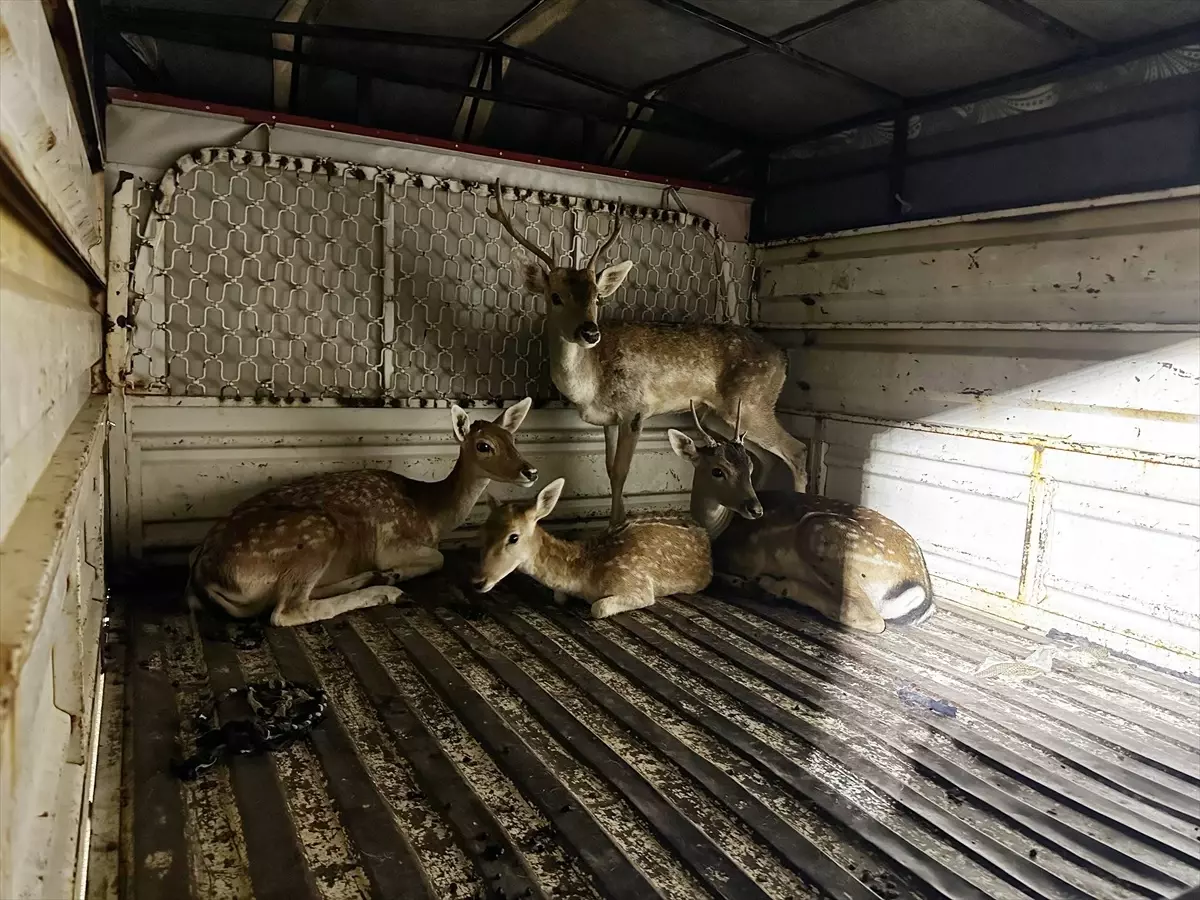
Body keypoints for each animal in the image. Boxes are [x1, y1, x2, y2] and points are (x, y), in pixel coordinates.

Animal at [188, 400, 540, 628]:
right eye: (484, 446)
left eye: (512, 438)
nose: (531, 470)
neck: (432, 514)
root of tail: (205, 576)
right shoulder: (391, 541)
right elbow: (439, 558)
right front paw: (395, 573)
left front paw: (389, 574)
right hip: (315, 533)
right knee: (286, 611)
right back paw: (386, 590)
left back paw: (373, 579)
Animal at [470, 480, 710, 619]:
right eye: (482, 531)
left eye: (514, 537)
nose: (478, 581)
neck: (584, 578)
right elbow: (559, 597)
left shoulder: (638, 585)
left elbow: (598, 608)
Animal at [487, 181, 806, 528]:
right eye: (555, 296)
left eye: (597, 298)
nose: (589, 332)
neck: (590, 384)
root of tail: (784, 358)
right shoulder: (609, 420)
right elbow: (610, 470)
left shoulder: (636, 409)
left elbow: (622, 472)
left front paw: (617, 525)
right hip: (719, 414)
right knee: (763, 457)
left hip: (750, 403)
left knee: (796, 449)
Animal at [667, 408, 936, 633]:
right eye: (718, 470)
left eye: (750, 468)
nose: (755, 508)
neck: (719, 528)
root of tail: (921, 589)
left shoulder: (749, 560)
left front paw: (742, 582)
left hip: (822, 532)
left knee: (866, 616)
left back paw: (773, 587)